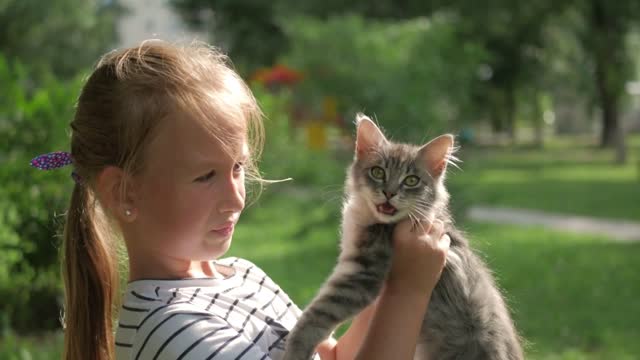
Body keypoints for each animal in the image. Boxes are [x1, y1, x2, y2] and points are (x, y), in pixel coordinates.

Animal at [282, 113, 524, 360]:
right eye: (378, 172)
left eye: (411, 180)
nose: (389, 193)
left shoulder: (363, 274)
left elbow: (316, 315)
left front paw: (295, 349)